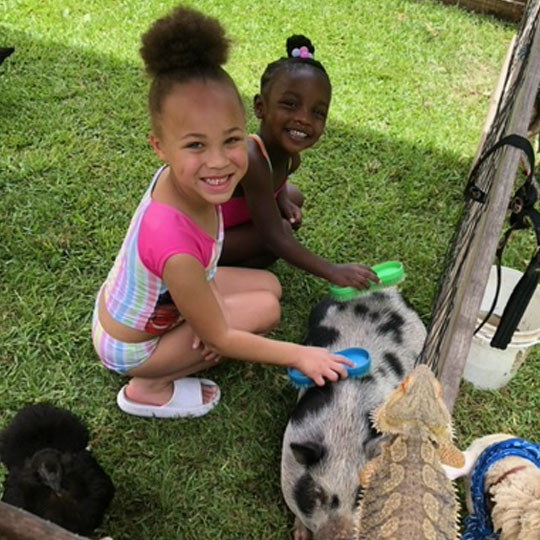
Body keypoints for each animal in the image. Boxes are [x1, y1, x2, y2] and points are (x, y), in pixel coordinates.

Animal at [282, 288, 426, 540]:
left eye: (360, 494)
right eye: (318, 493)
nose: (340, 536)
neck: (343, 432)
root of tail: (384, 291)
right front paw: (299, 535)